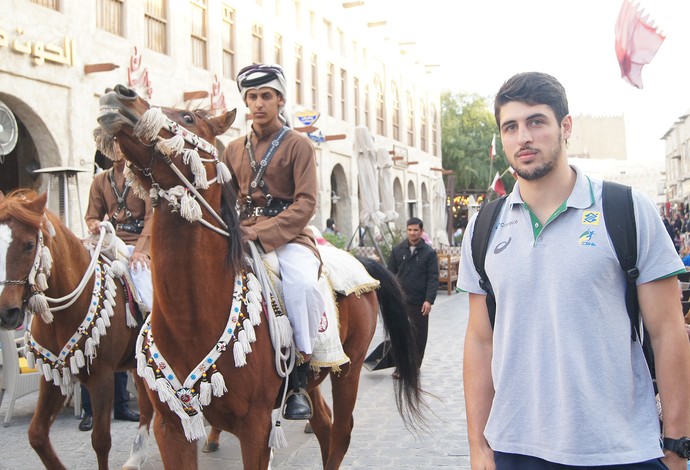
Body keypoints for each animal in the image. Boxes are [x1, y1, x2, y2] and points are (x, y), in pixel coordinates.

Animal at [0, 190, 152, 470]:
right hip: (137, 364)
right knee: (148, 407)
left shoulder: (102, 378)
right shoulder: (54, 374)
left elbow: (101, 440)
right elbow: (37, 435)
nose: (7, 312)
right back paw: (136, 457)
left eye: (28, 245)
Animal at [94, 85, 422, 470]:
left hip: (349, 368)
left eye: (188, 117)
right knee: (324, 425)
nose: (119, 93)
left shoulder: (256, 428)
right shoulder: (171, 427)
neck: (190, 321)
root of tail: (360, 261)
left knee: (341, 432)